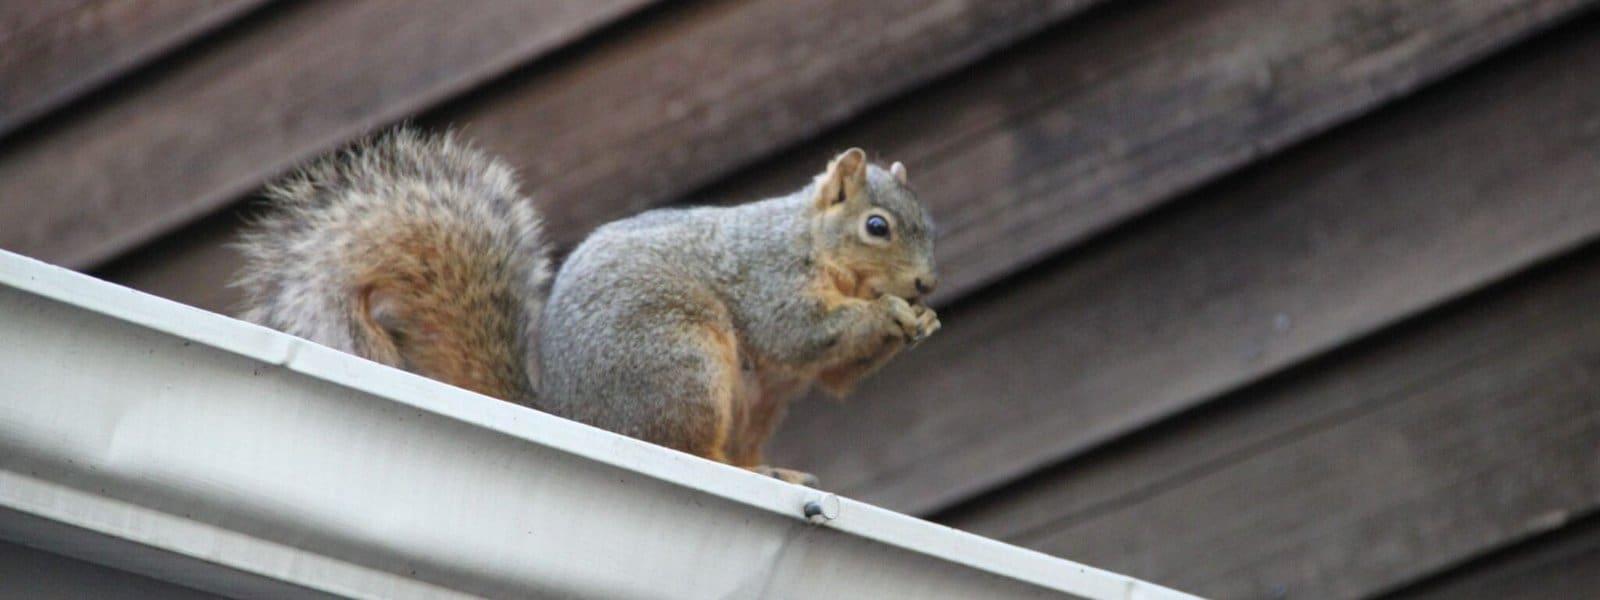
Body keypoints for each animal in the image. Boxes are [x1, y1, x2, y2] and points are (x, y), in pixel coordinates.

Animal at [235, 129, 934, 486]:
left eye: (930, 225)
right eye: (876, 226)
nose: (926, 284)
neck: (809, 241)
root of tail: (573, 413)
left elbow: (834, 374)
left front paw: (919, 323)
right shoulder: (768, 277)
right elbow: (799, 332)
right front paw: (890, 314)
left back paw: (772, 472)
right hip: (682, 363)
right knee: (684, 446)